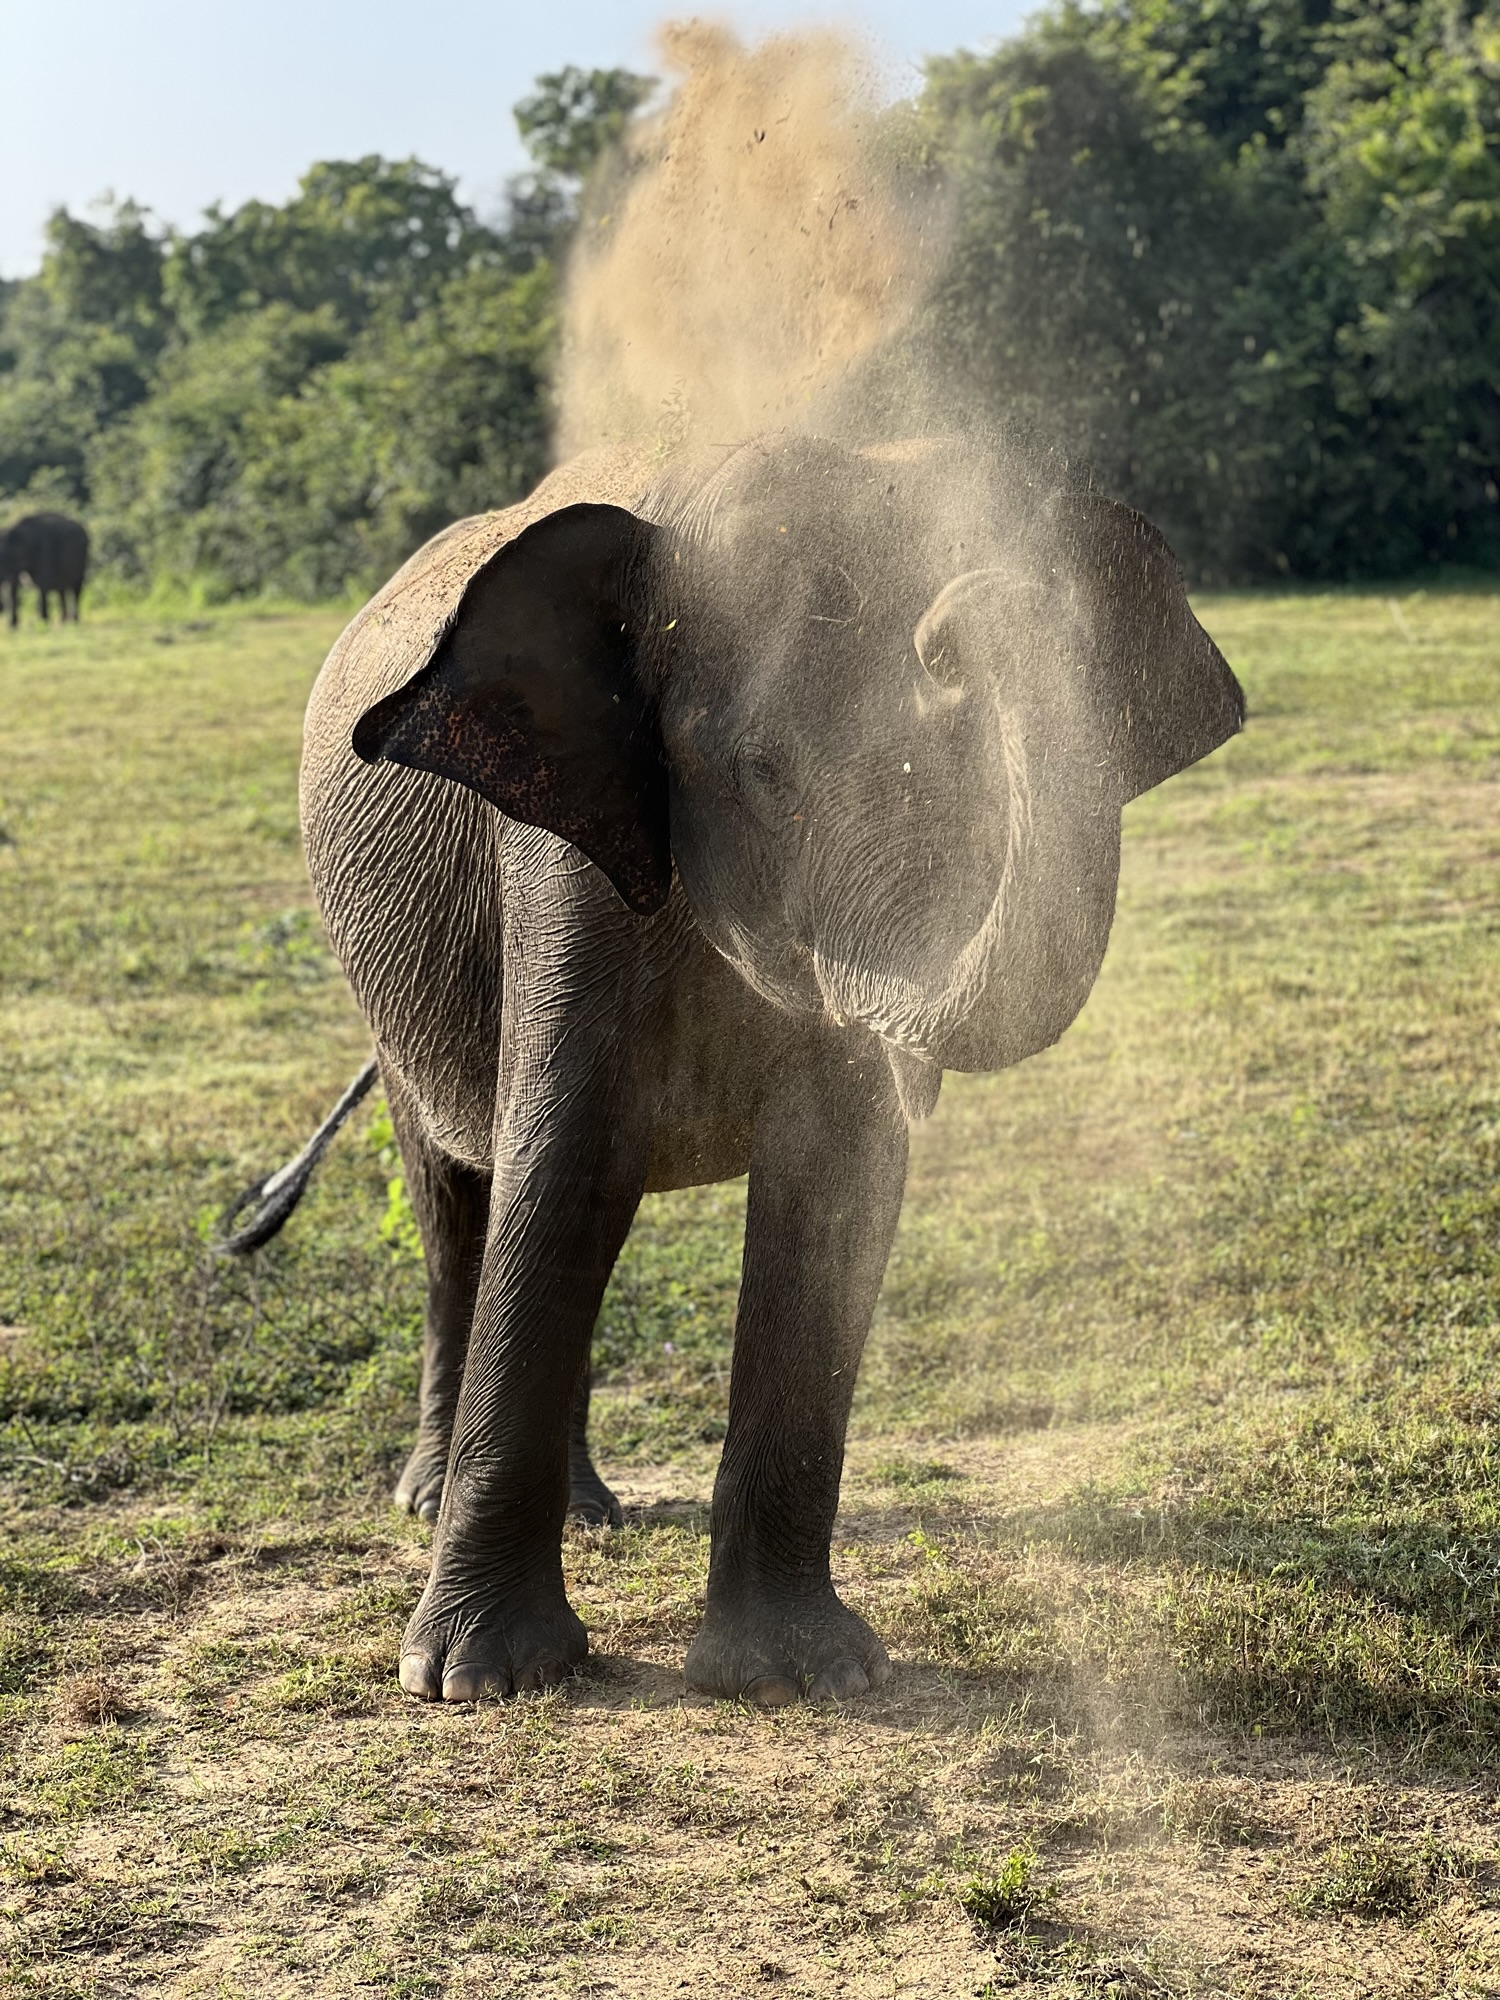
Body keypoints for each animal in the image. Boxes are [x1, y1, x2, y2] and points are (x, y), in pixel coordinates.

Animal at [295, 430, 1244, 1705]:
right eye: (759, 770)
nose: (976, 608)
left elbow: (832, 1186)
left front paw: (802, 1674)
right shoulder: (557, 860)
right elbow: (564, 1163)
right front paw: (472, 1680)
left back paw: (593, 1513)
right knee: (459, 1208)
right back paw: (432, 1499)